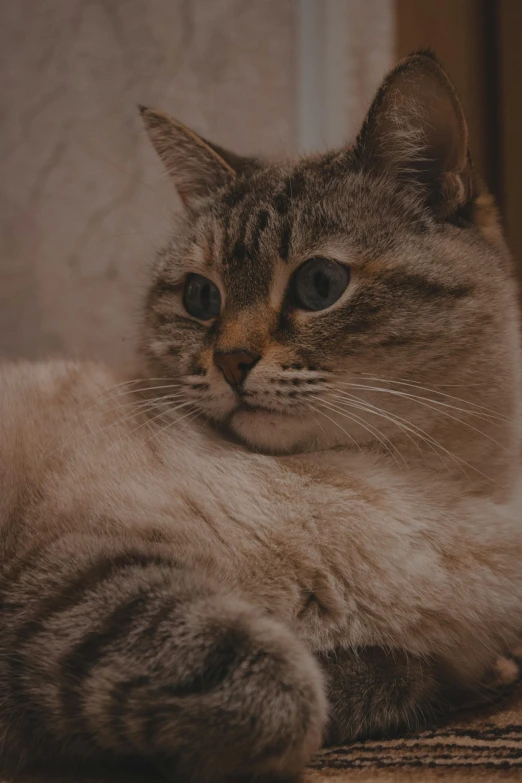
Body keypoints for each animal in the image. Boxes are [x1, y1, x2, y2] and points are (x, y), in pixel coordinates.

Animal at [1, 52, 520, 780]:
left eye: (320, 285)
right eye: (200, 296)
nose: (231, 361)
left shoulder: (450, 659)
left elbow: (390, 677)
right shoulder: (77, 565)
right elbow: (287, 692)